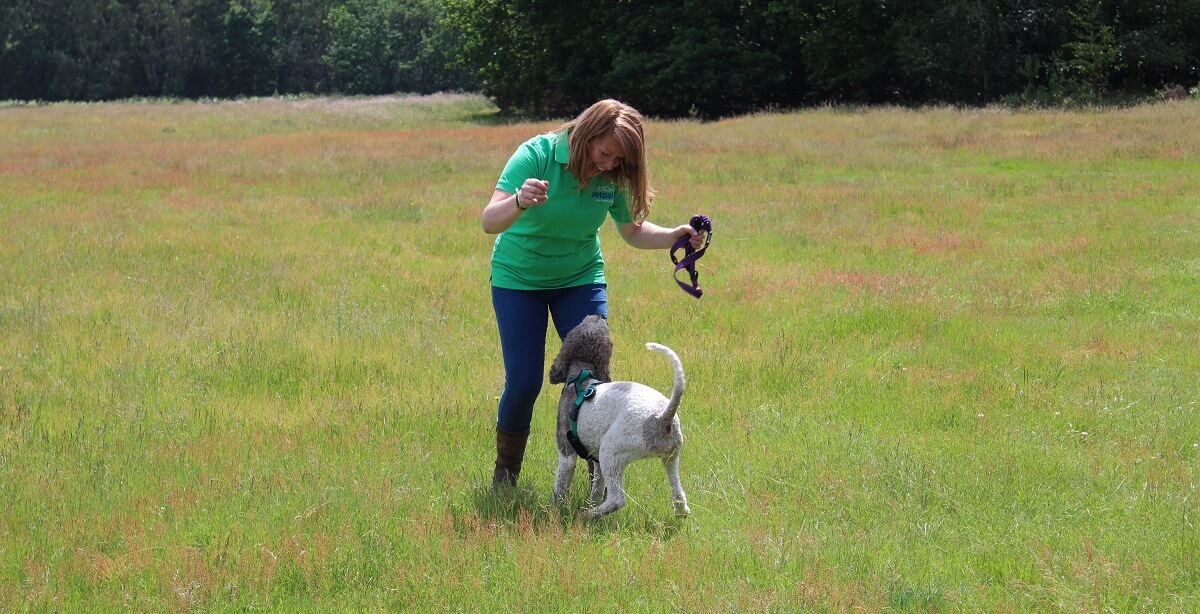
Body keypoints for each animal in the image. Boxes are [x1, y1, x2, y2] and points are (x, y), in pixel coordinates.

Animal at [547, 314, 691, 520]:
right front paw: (590, 502)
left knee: (617, 499)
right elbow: (597, 489)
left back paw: (587, 515)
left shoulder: (567, 453)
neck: (582, 374)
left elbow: (560, 488)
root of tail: (662, 418)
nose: (598, 315)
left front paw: (554, 511)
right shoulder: (596, 460)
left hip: (612, 451)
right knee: (678, 496)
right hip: (670, 457)